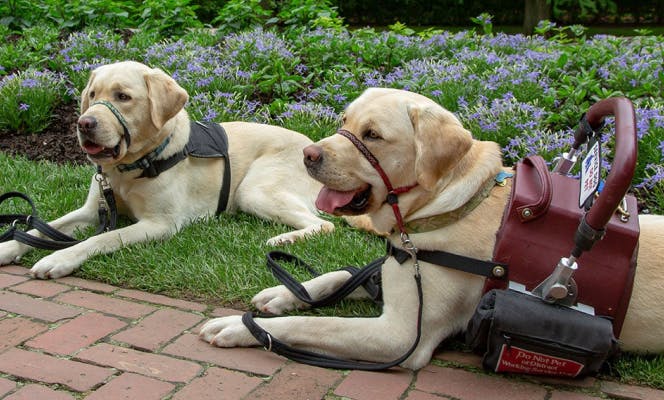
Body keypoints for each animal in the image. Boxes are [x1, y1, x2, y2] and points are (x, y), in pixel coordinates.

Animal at [0, 61, 332, 278]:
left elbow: (103, 238)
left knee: (324, 225)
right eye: (92, 95)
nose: (84, 123)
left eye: (123, 96)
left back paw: (284, 240)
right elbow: (41, 227)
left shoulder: (160, 223)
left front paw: (61, 258)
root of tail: (314, 148)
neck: (127, 170)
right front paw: (8, 247)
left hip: (253, 190)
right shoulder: (92, 211)